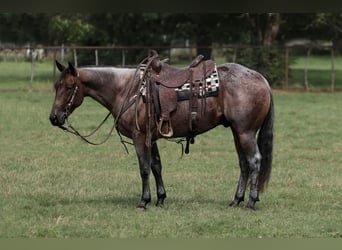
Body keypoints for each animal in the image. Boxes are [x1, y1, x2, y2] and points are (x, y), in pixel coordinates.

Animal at [49, 51, 274, 211]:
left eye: (69, 87)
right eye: (56, 86)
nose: (54, 118)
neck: (126, 89)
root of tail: (260, 78)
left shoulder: (140, 137)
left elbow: (144, 168)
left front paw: (144, 201)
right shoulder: (152, 138)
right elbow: (156, 166)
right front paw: (160, 199)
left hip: (245, 132)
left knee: (254, 161)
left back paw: (251, 202)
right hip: (237, 132)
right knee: (244, 164)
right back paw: (236, 200)